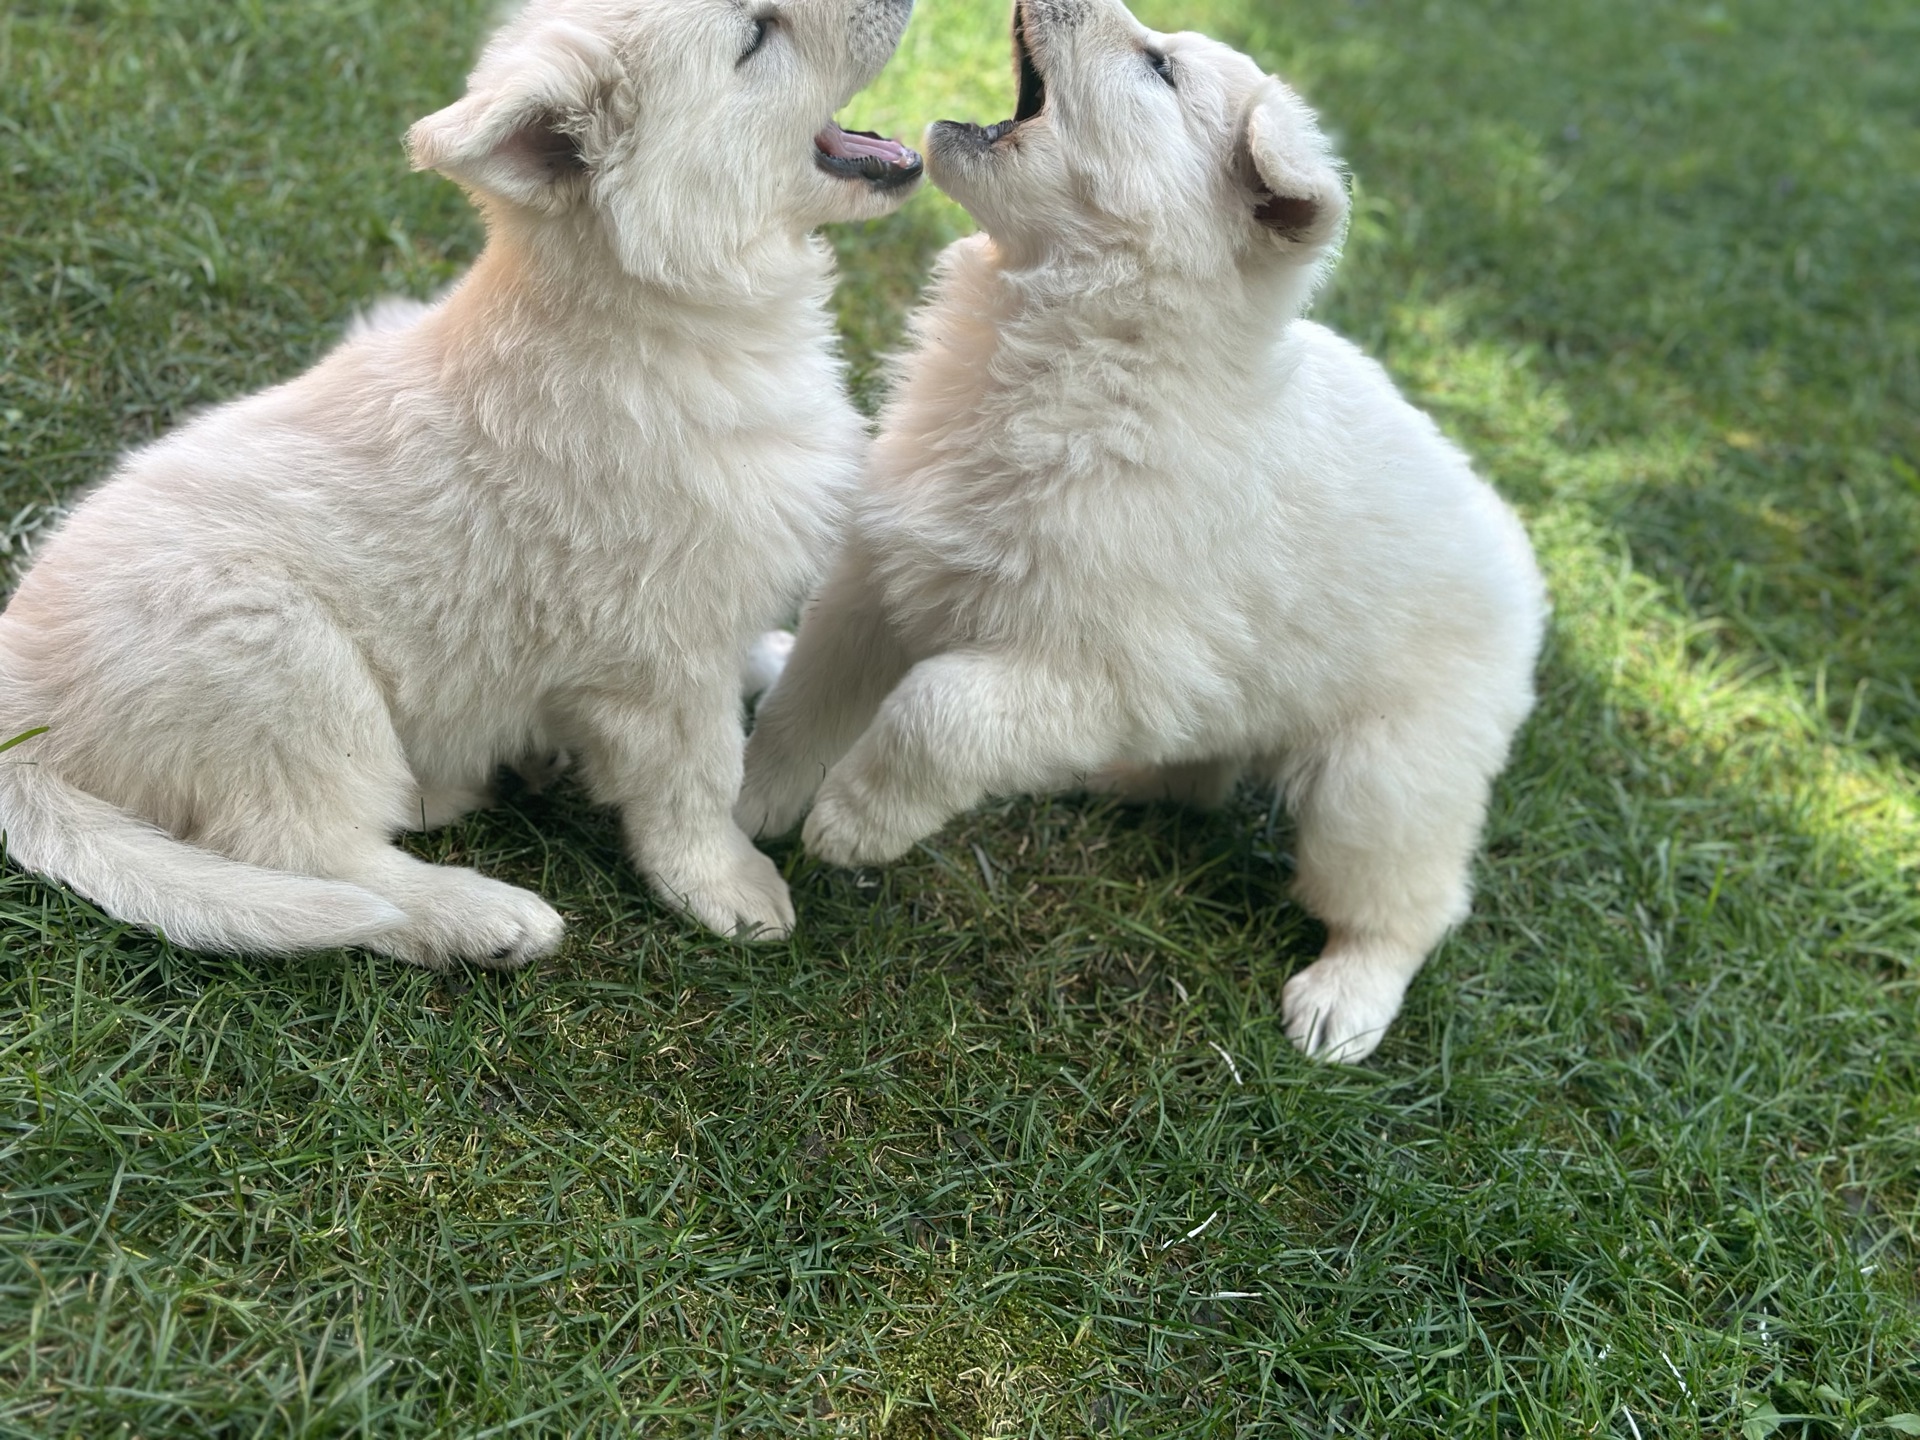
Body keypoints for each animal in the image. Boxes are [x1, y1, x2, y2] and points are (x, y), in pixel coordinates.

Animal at [0, 0, 929, 975]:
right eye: (755, 36)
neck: (675, 319)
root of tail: (21, 717)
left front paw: (780, 656)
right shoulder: (657, 654)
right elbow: (698, 781)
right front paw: (729, 888)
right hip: (278, 662)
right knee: (308, 855)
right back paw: (480, 915)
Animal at [733, 0, 1543, 1059]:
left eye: (1160, 69)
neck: (1077, 347)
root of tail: (1521, 562)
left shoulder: (1104, 667)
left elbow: (937, 711)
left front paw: (851, 824)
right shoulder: (882, 573)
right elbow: (805, 700)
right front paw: (748, 804)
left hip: (1384, 783)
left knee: (1410, 903)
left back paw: (1345, 1002)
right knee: (1200, 774)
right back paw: (1106, 779)